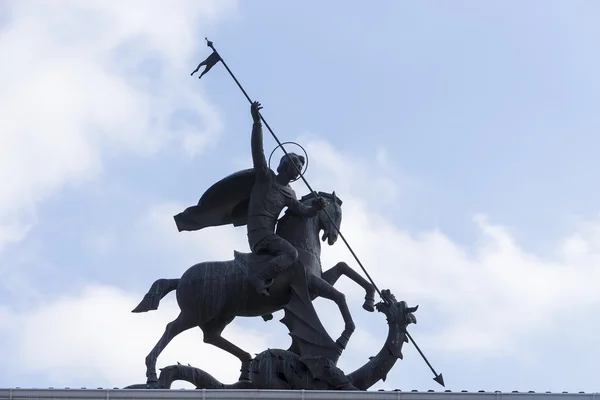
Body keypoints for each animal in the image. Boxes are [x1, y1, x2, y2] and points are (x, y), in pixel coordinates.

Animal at [134, 192, 372, 386]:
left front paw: (370, 300)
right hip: (197, 313)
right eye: (337, 213)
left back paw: (246, 366)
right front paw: (342, 338)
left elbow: (344, 267)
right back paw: (151, 372)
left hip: (222, 315)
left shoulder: (315, 286)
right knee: (171, 329)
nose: (333, 237)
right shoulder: (312, 284)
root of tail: (180, 279)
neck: (299, 247)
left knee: (211, 337)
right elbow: (340, 296)